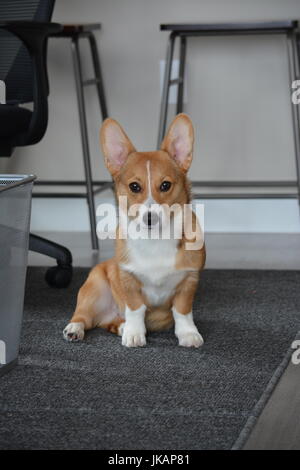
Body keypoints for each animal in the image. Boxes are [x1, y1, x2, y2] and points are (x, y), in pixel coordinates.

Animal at [63, 113, 206, 348]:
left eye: (165, 185)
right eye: (134, 187)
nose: (150, 218)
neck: (155, 239)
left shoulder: (189, 281)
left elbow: (182, 311)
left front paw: (188, 334)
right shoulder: (128, 280)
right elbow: (136, 308)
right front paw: (134, 334)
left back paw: (120, 326)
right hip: (93, 288)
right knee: (83, 316)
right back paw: (76, 329)